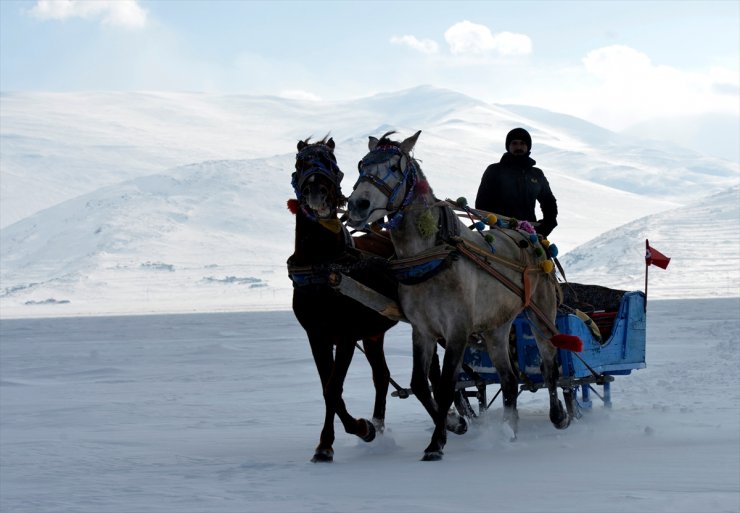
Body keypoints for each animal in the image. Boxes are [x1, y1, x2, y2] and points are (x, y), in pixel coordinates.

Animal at [286, 135, 398, 460]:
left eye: (333, 165)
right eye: (301, 163)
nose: (317, 192)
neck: (323, 265)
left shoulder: (346, 335)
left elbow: (333, 388)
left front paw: (358, 430)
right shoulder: (318, 336)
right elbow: (328, 387)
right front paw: (332, 442)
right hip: (374, 333)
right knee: (382, 376)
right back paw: (379, 425)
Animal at [344, 131, 576, 460]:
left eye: (395, 167)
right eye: (362, 164)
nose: (358, 205)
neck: (431, 256)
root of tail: (530, 234)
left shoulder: (457, 330)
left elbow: (445, 385)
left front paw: (436, 444)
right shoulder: (423, 330)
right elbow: (420, 383)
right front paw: (455, 426)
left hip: (541, 315)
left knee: (549, 367)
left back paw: (558, 416)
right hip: (496, 327)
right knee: (508, 379)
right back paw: (508, 431)